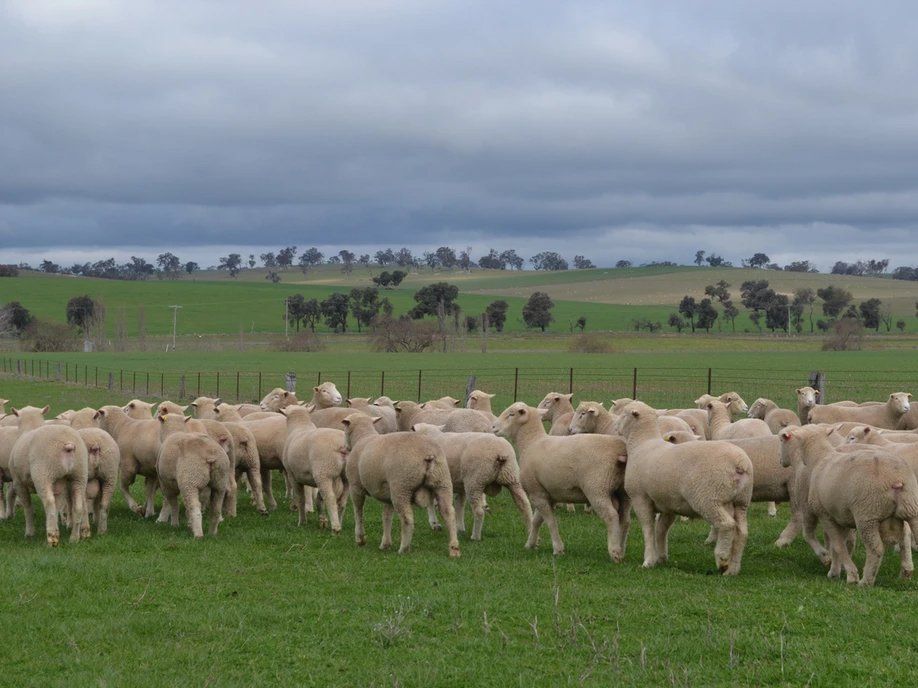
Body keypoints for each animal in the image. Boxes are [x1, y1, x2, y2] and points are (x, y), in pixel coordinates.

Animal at [10, 406, 89, 545]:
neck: (30, 427)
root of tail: (68, 443)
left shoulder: (18, 482)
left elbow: (28, 507)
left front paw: (29, 533)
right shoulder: (58, 484)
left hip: (43, 474)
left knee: (49, 501)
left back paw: (52, 538)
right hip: (79, 474)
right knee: (79, 504)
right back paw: (74, 538)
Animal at [343, 414, 460, 557]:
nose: (345, 447)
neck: (363, 436)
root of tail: (427, 452)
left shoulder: (355, 487)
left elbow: (359, 512)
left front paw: (360, 539)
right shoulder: (387, 494)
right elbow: (386, 516)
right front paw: (385, 544)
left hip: (402, 486)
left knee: (407, 518)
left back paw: (404, 548)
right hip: (442, 482)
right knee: (449, 513)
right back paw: (454, 548)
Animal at [494, 403, 631, 562]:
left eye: (511, 414)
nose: (493, 427)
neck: (531, 443)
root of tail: (619, 450)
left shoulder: (536, 493)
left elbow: (550, 521)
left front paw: (558, 549)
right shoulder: (545, 494)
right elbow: (537, 521)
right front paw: (530, 544)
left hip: (597, 488)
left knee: (611, 516)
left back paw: (615, 552)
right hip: (623, 492)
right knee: (625, 520)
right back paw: (622, 549)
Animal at [614, 401, 753, 574]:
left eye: (624, 414)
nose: (615, 427)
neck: (642, 443)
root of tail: (739, 463)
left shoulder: (640, 498)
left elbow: (648, 529)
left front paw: (648, 561)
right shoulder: (668, 504)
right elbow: (661, 529)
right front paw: (661, 557)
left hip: (709, 498)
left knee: (727, 525)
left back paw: (722, 559)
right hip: (741, 501)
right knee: (742, 532)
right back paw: (733, 569)